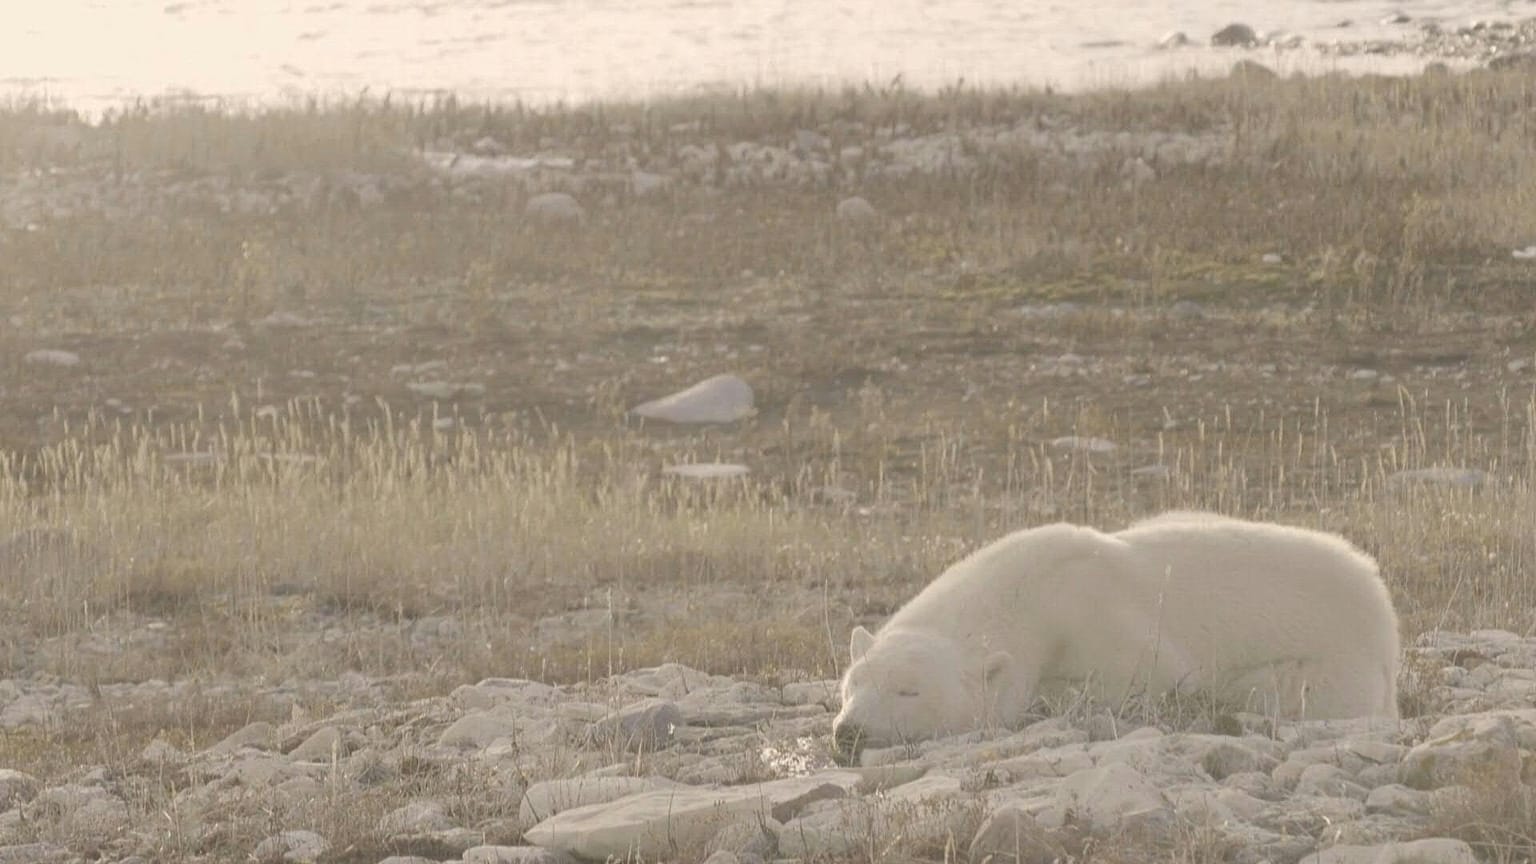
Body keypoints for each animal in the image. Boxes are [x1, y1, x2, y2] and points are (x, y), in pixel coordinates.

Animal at [831, 512, 1399, 764]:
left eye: (909, 691)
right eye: (851, 686)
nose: (849, 732)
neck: (1032, 593)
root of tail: (1376, 588)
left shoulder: (1104, 619)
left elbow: (1149, 677)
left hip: (1329, 662)